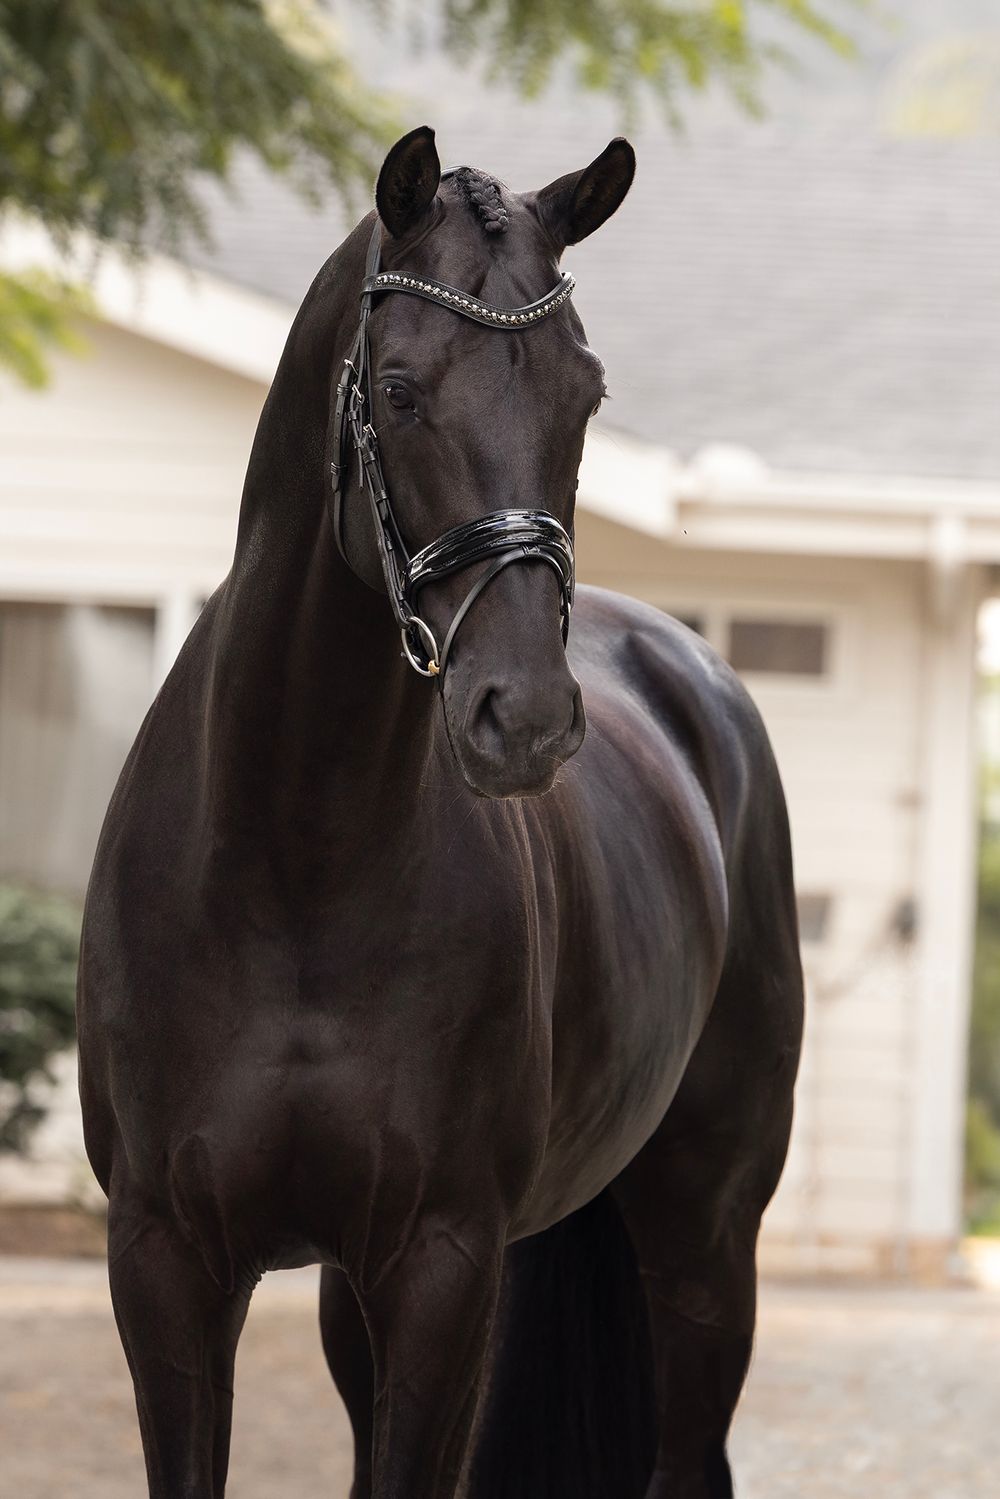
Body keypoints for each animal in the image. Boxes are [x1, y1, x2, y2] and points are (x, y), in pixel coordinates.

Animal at [77, 125, 803, 1499]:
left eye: (584, 395)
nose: (524, 718)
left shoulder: (442, 1262)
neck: (293, 859)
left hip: (703, 1239)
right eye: (402, 389)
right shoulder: (167, 1263)